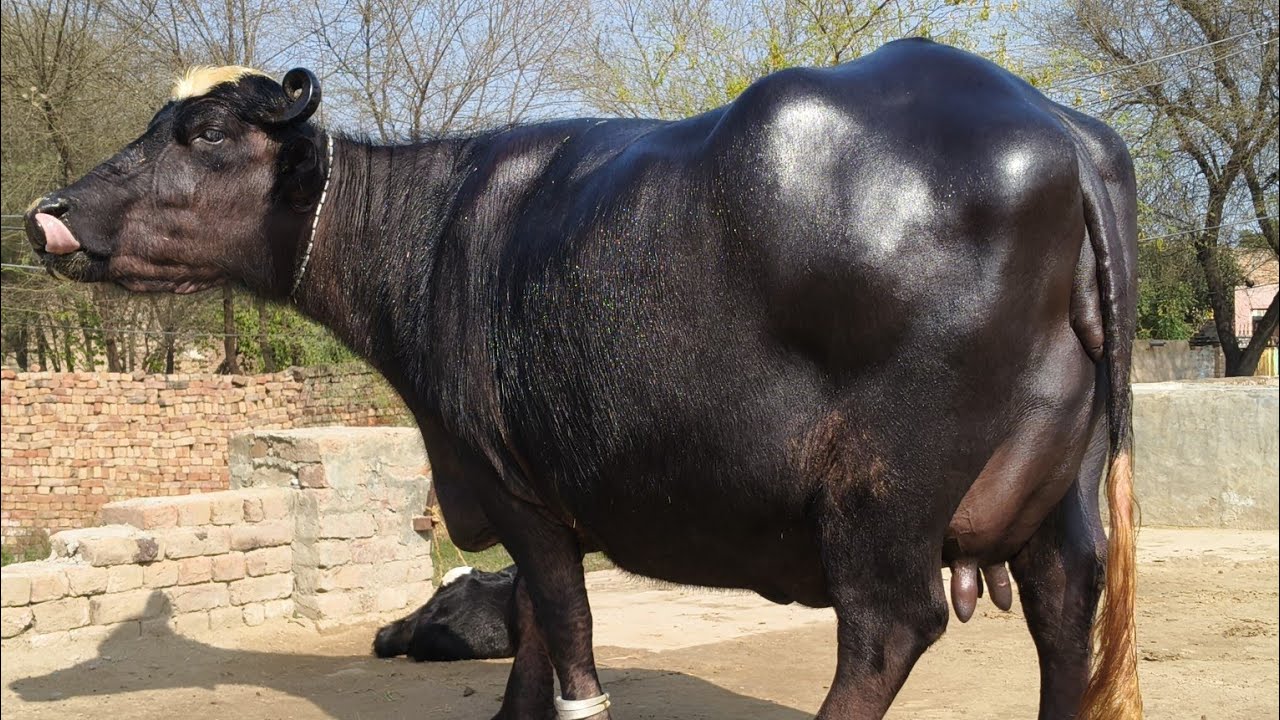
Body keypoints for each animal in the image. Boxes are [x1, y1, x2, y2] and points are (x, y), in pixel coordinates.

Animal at [25, 38, 1140, 719]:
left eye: (207, 134)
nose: (48, 213)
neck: (428, 239)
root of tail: (1060, 133)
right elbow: (528, 636)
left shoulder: (513, 485)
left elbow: (565, 634)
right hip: (1061, 485)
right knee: (1062, 604)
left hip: (883, 492)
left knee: (885, 629)